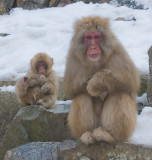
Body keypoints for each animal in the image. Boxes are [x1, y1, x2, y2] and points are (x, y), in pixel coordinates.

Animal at [63, 16, 140, 145]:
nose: (93, 47)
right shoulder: (73, 57)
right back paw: (86, 134)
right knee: (81, 96)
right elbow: (70, 90)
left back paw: (111, 136)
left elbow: (131, 81)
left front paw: (95, 82)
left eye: (96, 37)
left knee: (119, 93)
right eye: (88, 37)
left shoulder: (116, 52)